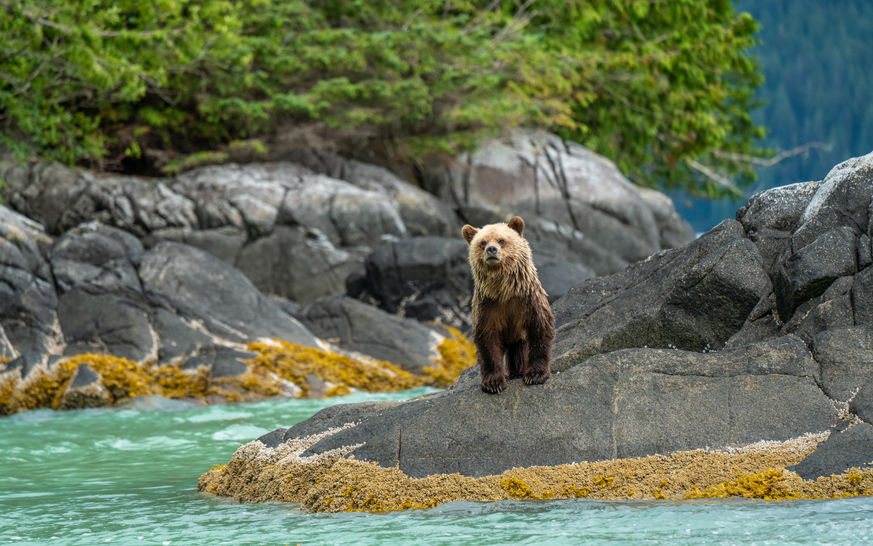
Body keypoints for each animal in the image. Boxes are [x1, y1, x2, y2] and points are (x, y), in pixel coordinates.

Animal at [461, 215, 555, 394]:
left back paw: (519, 372)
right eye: (482, 242)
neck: (504, 291)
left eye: (501, 240)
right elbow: (487, 339)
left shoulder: (528, 300)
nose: (491, 249)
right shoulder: (488, 306)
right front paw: (493, 383)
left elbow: (539, 329)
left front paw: (535, 375)